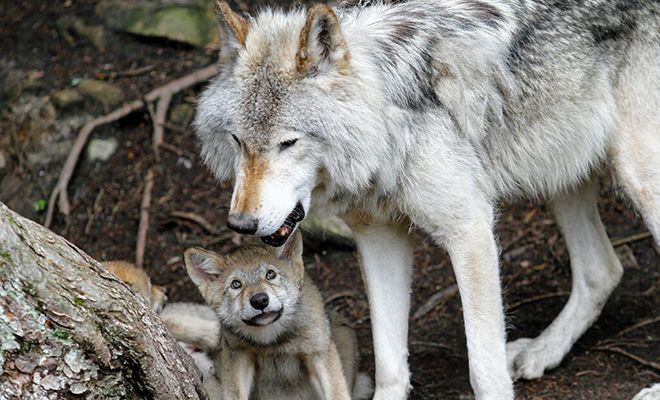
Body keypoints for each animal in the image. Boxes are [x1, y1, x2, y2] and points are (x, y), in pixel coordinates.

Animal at [193, 1, 660, 398]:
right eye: (238, 141)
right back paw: (543, 350)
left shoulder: (470, 231)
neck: (388, 120)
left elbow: (484, 371)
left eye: (288, 143)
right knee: (603, 269)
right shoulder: (379, 237)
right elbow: (390, 364)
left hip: (639, 177)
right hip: (559, 171)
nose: (240, 225)